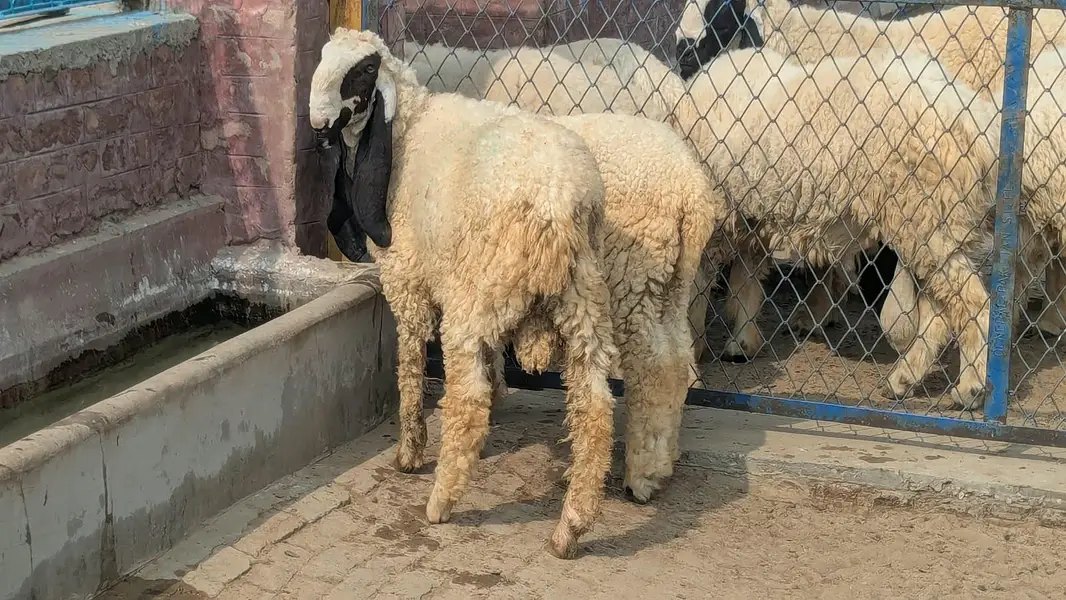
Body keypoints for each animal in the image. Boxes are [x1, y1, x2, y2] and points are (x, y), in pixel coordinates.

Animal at [310, 28, 620, 558]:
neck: (407, 129)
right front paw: (498, 398)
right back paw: (571, 528)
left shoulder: (407, 279)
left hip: (478, 299)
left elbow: (410, 363)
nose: (319, 124)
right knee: (595, 407)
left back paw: (441, 501)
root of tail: (559, 204)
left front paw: (409, 451)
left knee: (468, 400)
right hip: (580, 297)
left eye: (364, 72)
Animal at [612, 43, 1002, 408]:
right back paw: (904, 379)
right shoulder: (752, 213)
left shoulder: (717, 217)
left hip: (925, 212)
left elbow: (699, 292)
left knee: (974, 303)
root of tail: (976, 122)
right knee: (940, 311)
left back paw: (970, 388)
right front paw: (741, 343)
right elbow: (746, 277)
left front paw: (694, 362)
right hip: (938, 220)